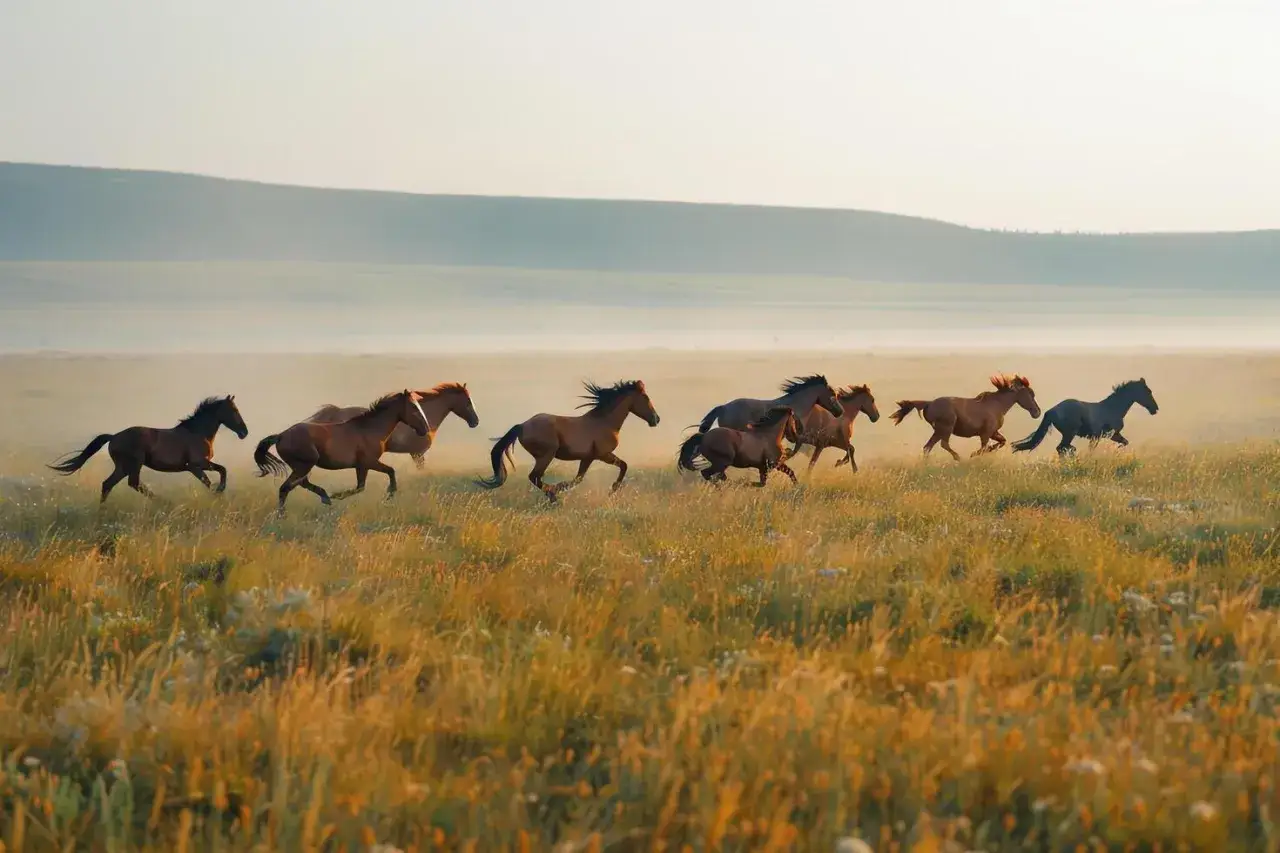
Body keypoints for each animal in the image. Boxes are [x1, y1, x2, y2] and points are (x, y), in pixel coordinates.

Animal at [47, 396, 249, 503]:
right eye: (234, 410)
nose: (244, 432)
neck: (197, 432)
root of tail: (114, 436)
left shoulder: (198, 466)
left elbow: (217, 473)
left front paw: (218, 493)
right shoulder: (196, 465)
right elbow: (217, 474)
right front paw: (219, 492)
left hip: (123, 467)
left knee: (108, 484)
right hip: (134, 464)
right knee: (133, 483)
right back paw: (162, 502)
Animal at [254, 390, 429, 514]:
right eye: (414, 407)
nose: (425, 429)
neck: (370, 429)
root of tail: (281, 436)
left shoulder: (361, 466)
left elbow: (360, 486)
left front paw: (336, 496)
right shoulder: (370, 462)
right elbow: (390, 471)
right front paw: (390, 493)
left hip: (301, 466)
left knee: (300, 484)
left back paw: (325, 497)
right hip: (305, 465)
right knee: (286, 488)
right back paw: (282, 515)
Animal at [476, 380, 660, 502]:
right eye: (645, 397)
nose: (656, 419)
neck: (604, 421)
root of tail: (522, 425)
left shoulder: (588, 458)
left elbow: (578, 478)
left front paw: (561, 487)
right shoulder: (603, 454)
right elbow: (624, 466)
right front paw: (613, 489)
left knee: (536, 478)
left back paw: (553, 495)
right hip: (546, 455)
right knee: (534, 477)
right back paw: (553, 497)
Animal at [889, 375, 1041, 461]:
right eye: (1030, 394)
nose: (1037, 412)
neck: (997, 405)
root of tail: (929, 403)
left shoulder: (993, 432)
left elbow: (1002, 442)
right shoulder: (985, 434)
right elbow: (984, 448)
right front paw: (973, 455)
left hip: (939, 430)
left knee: (928, 447)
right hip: (945, 428)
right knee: (943, 444)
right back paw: (958, 458)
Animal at [1012, 378, 1158, 456]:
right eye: (1148, 392)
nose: (1155, 409)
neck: (1112, 408)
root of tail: (1052, 410)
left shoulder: (1109, 435)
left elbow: (1125, 442)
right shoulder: (1103, 435)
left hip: (1068, 434)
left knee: (1062, 448)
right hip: (1069, 433)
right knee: (1061, 448)